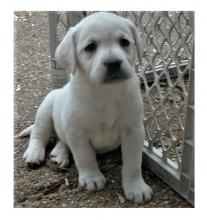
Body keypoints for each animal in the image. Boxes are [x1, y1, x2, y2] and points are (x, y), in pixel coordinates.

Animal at [21, 12, 154, 204]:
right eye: (90, 47)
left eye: (124, 42)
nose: (113, 63)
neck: (105, 92)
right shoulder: (77, 132)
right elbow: (84, 156)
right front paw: (92, 178)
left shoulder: (134, 130)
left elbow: (133, 163)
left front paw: (136, 187)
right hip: (45, 109)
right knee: (39, 135)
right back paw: (34, 153)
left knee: (61, 139)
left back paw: (59, 154)